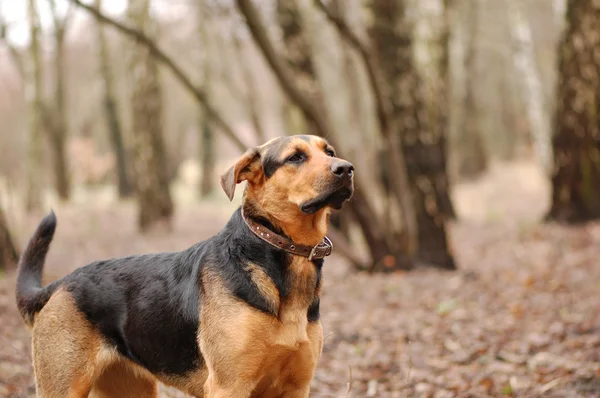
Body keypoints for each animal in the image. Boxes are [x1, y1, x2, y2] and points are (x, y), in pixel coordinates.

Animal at [14, 135, 354, 396]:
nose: (347, 168)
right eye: (295, 157)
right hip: (63, 385)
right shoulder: (229, 385)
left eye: (330, 152)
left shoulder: (297, 386)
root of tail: (59, 285)